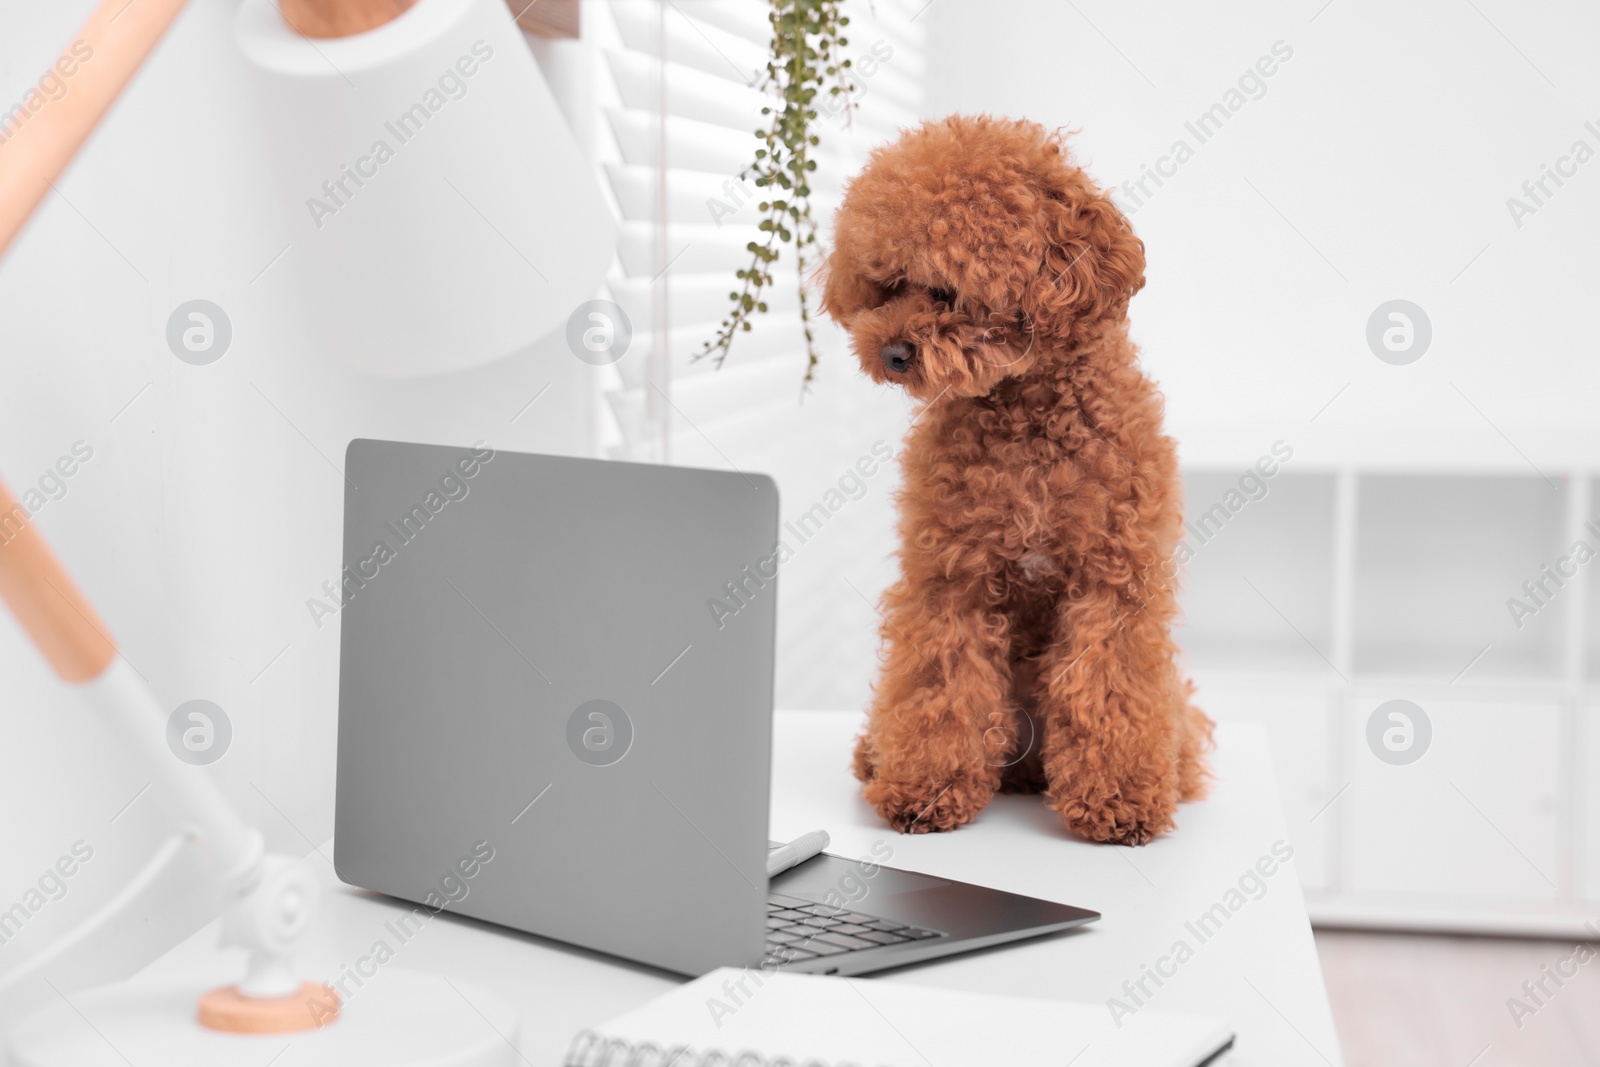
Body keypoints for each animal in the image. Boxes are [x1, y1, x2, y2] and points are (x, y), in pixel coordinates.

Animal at [825, 116, 1209, 844]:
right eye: (889, 285)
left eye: (948, 291)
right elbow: (941, 685)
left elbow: (1109, 687)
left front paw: (1119, 801)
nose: (890, 352)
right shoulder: (952, 578)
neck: (1028, 414)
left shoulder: (1113, 582)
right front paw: (926, 790)